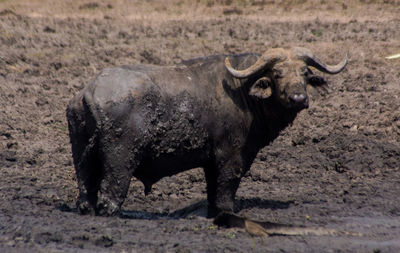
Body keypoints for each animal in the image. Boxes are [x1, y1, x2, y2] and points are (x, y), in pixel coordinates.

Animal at [65, 47, 346, 217]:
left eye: (305, 73)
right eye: (277, 73)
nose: (299, 98)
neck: (244, 93)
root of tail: (89, 91)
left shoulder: (211, 162)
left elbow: (212, 191)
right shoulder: (230, 157)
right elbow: (225, 190)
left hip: (82, 157)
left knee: (85, 188)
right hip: (120, 160)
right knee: (110, 195)